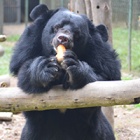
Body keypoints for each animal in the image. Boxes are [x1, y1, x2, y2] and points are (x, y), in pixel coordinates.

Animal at [10, 3, 120, 139]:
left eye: (77, 33)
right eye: (57, 27)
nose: (63, 39)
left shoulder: (103, 60)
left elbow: (104, 78)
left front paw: (75, 68)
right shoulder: (25, 51)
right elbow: (22, 70)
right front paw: (44, 68)